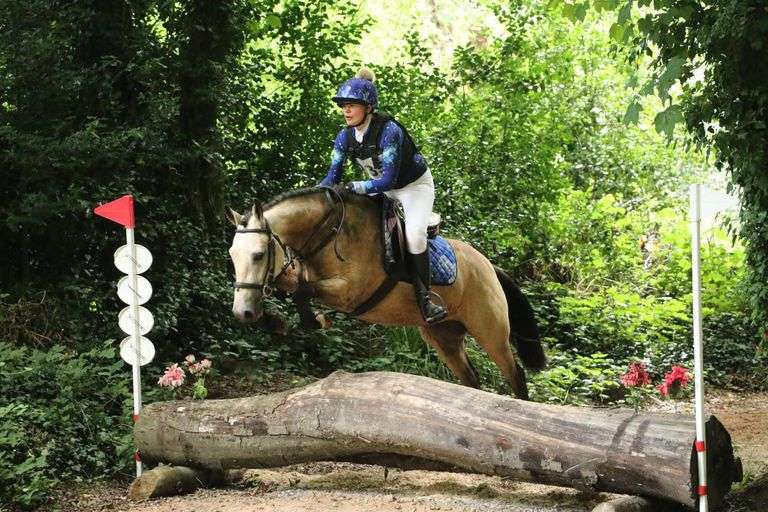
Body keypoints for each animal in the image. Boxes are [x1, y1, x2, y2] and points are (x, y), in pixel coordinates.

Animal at [227, 187, 546, 399]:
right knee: (471, 379)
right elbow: (294, 287)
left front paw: (309, 320)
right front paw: (280, 321)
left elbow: (301, 290)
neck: (327, 233)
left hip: (490, 331)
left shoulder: (349, 291)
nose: (242, 313)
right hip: (444, 337)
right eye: (232, 255)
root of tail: (489, 266)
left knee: (515, 374)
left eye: (258, 255)